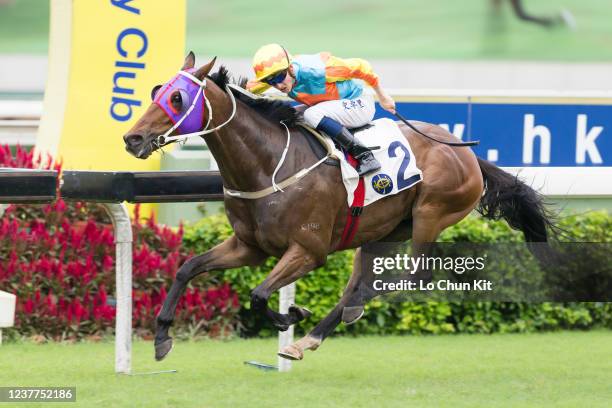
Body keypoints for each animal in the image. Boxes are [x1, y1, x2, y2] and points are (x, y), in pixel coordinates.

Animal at [123, 53, 556, 360]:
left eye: (177, 97)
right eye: (155, 91)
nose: (133, 138)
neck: (268, 165)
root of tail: (467, 154)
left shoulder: (308, 251)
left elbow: (260, 294)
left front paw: (291, 315)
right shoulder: (248, 247)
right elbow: (188, 268)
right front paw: (161, 338)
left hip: (430, 215)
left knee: (405, 278)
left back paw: (336, 317)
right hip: (382, 232)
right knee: (359, 282)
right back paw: (310, 339)